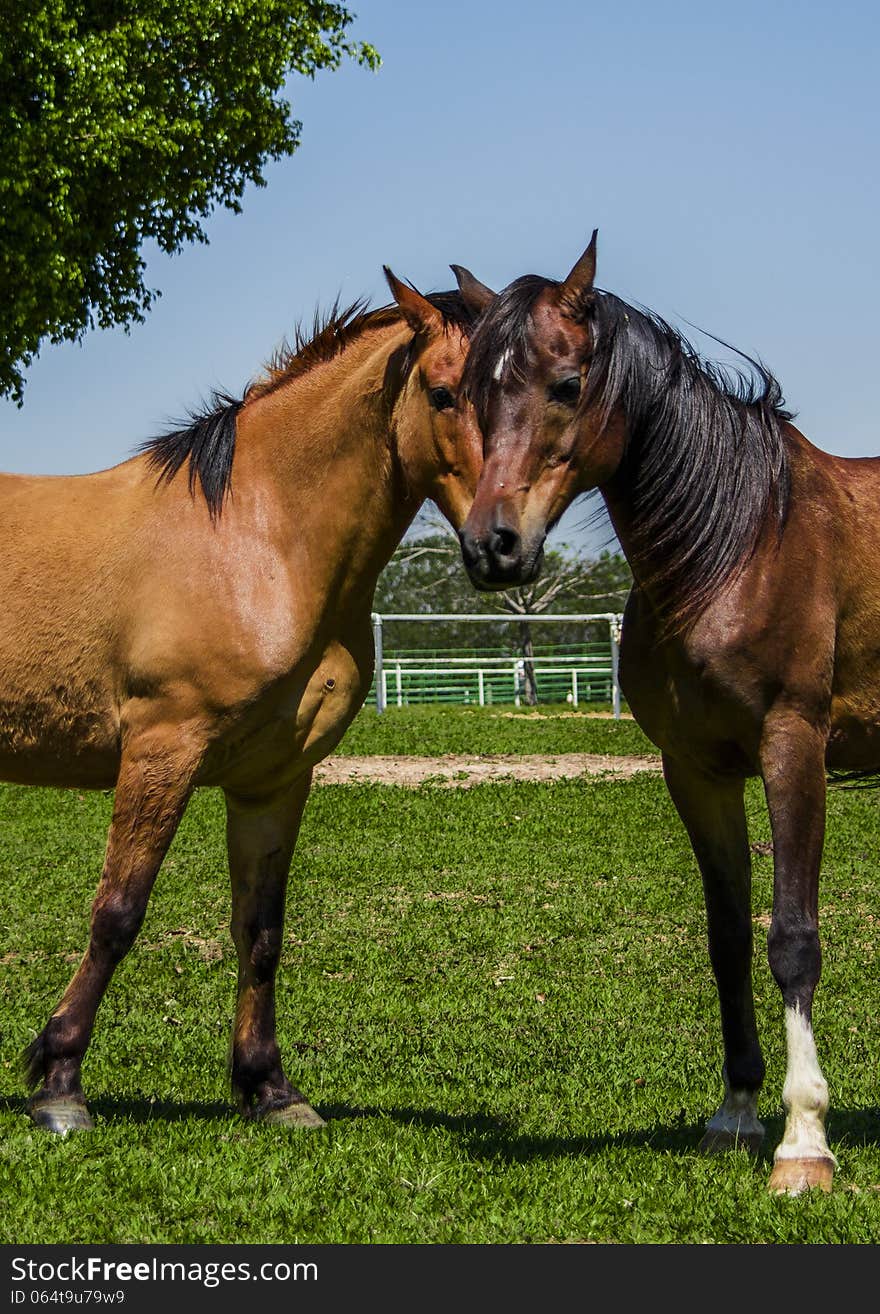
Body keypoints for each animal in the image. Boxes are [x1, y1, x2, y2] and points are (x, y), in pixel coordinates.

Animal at [1, 264, 496, 1130]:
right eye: (440, 393)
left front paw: (270, 1088)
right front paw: (59, 1083)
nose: (501, 543)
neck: (253, 539)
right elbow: (117, 914)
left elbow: (260, 931)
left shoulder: (274, 779)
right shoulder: (162, 752)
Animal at [459, 233, 877, 1193]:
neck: (739, 545)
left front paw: (804, 1142)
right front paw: (737, 1114)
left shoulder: (794, 750)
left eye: (566, 384)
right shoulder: (697, 771)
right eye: (465, 393)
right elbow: (728, 937)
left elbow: (792, 938)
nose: (493, 546)